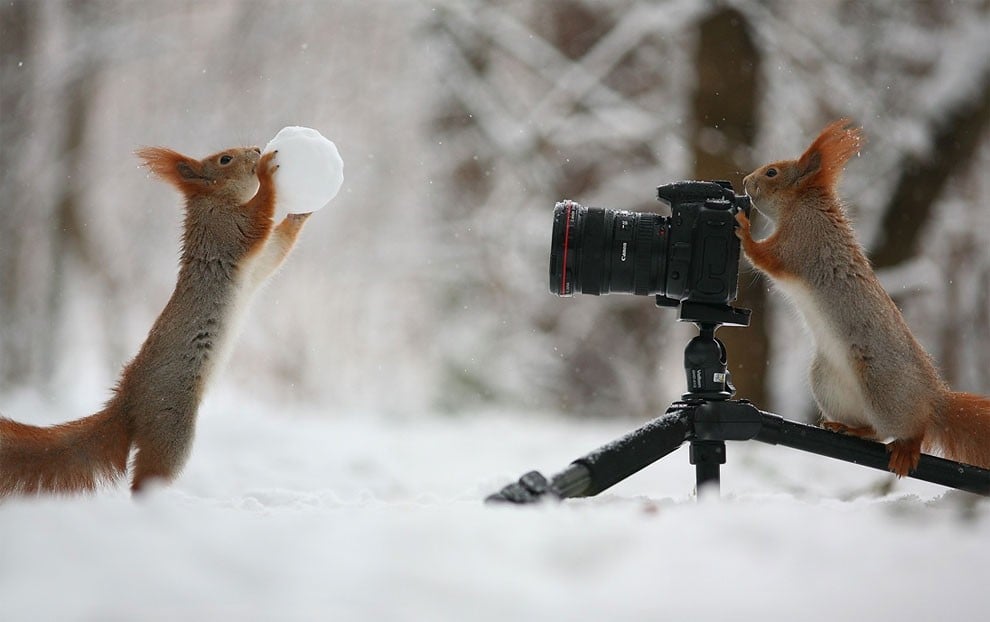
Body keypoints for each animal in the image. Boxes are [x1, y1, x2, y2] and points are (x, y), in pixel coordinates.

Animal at [0, 145, 310, 498]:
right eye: (225, 160)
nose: (256, 150)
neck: (214, 201)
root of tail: (128, 402)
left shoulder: (256, 266)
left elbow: (276, 249)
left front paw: (301, 213)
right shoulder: (227, 231)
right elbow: (259, 216)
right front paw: (268, 174)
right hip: (170, 425)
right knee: (147, 479)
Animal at [736, 120, 990, 478]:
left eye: (772, 172)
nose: (746, 182)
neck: (802, 206)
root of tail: (933, 397)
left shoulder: (800, 242)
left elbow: (766, 257)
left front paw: (743, 229)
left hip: (882, 387)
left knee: (909, 428)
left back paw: (907, 446)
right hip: (827, 382)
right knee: (874, 431)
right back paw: (849, 428)